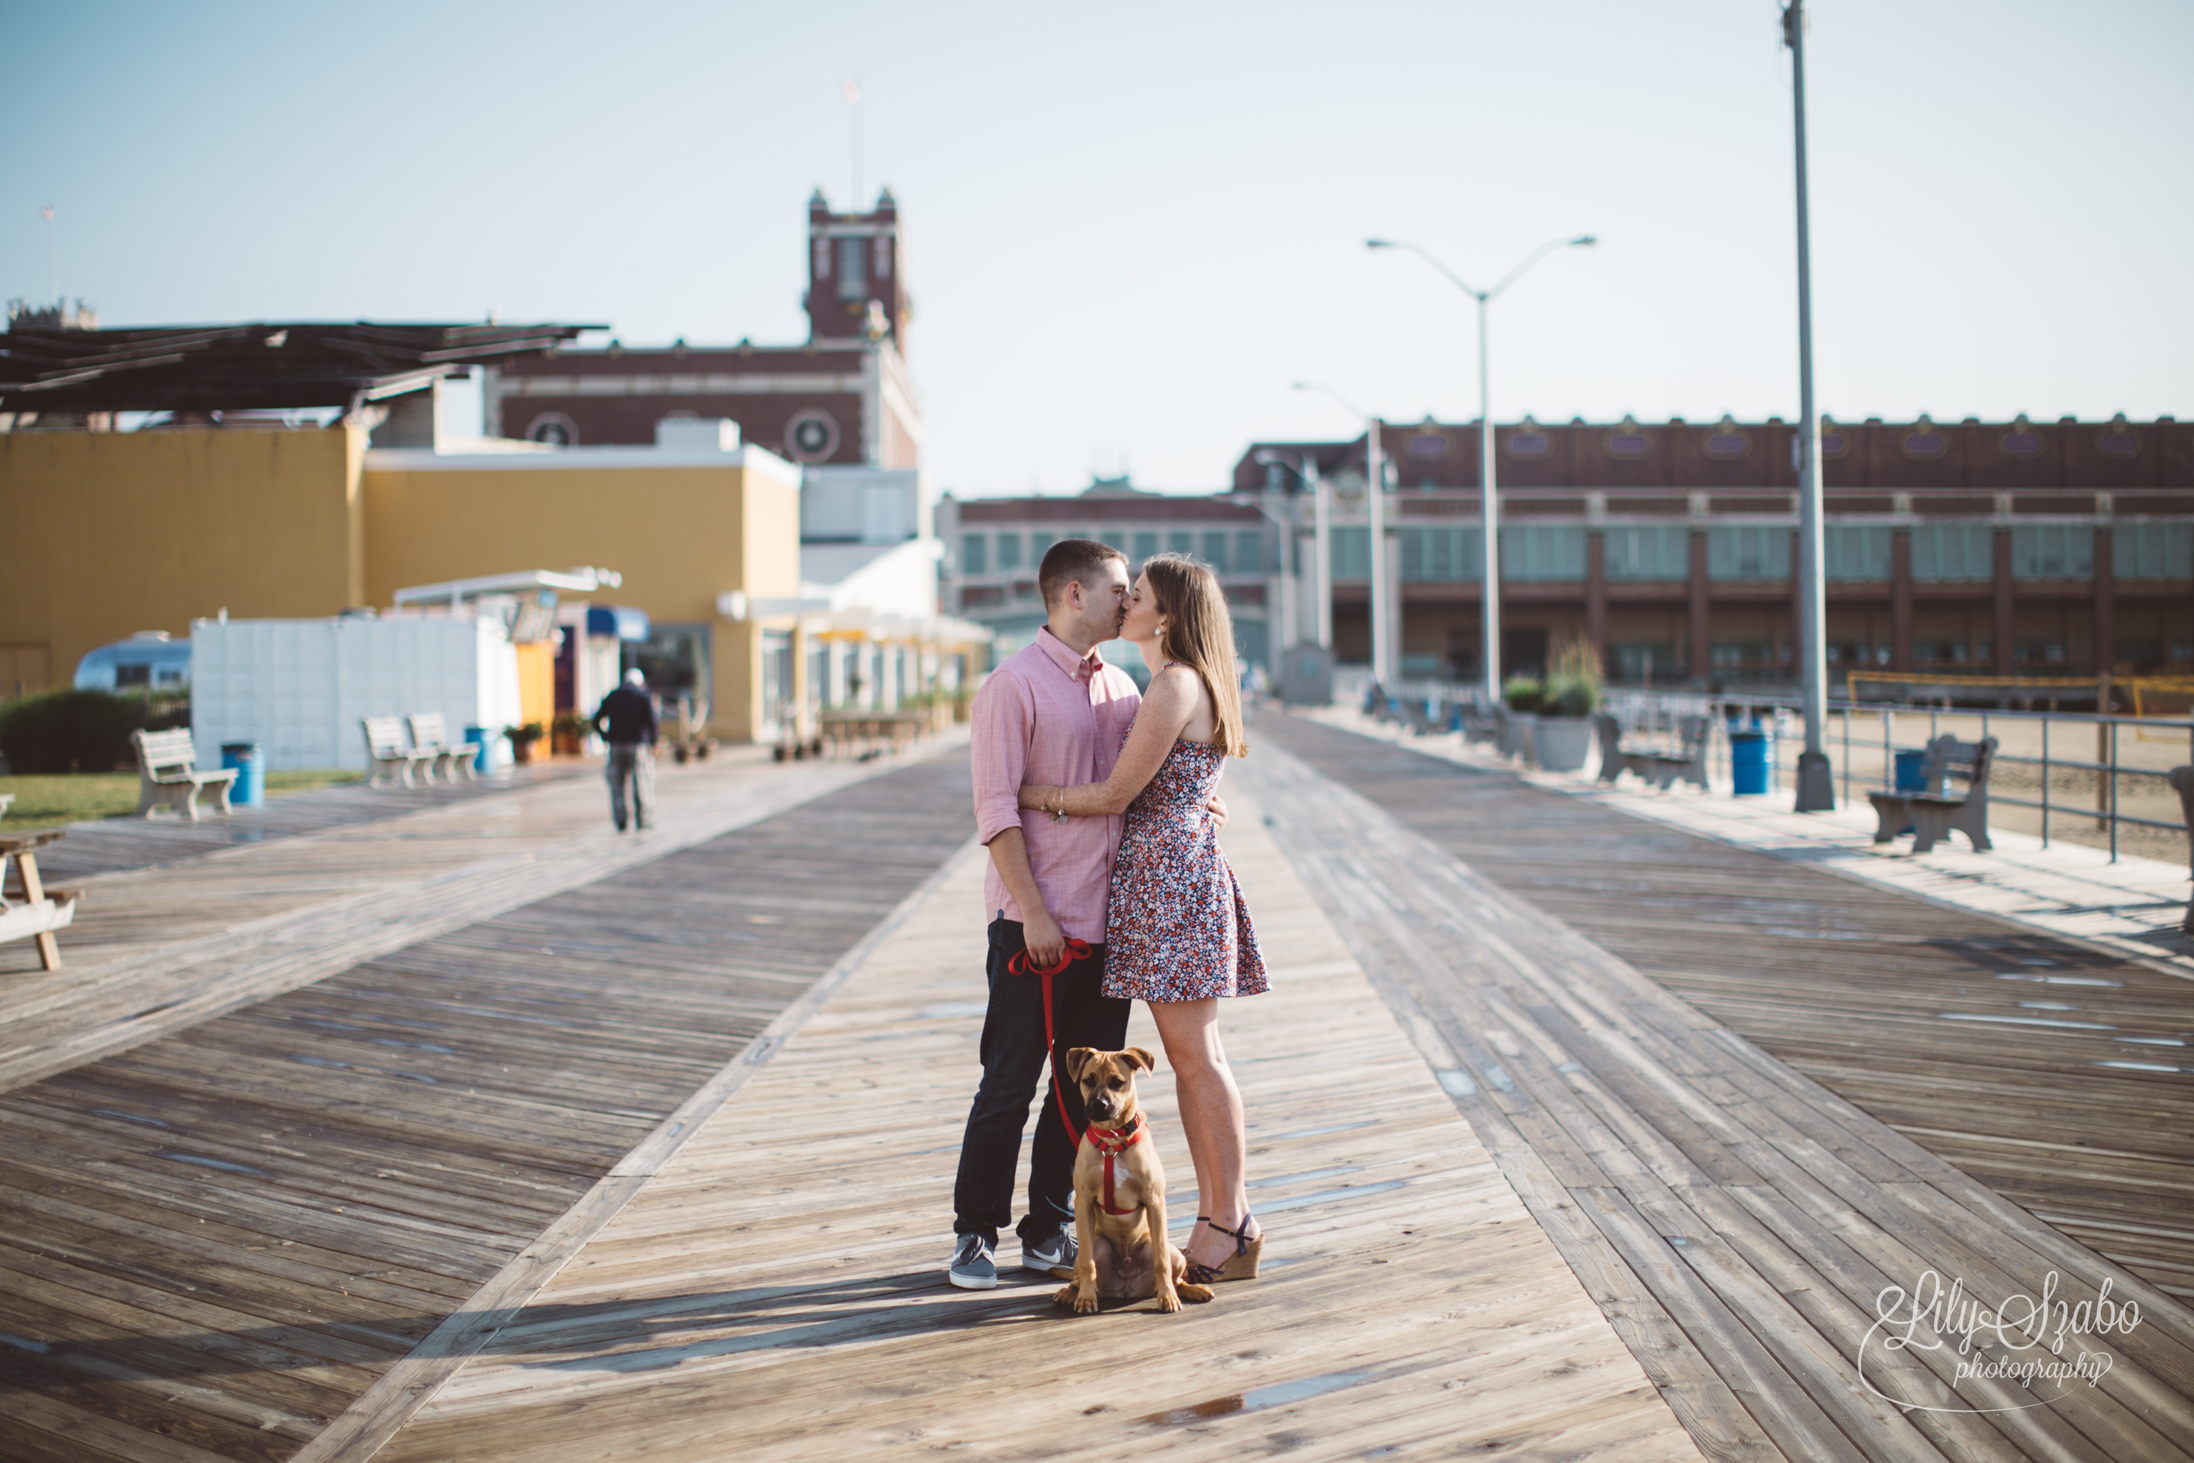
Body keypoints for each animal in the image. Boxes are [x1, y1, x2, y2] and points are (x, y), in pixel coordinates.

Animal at [1048, 1052, 1211, 1316]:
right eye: (1088, 1080)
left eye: (1117, 1082)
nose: (1099, 1104)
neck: (1112, 1139)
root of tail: (1127, 1286)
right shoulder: (1083, 1202)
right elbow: (1088, 1265)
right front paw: (1085, 1299)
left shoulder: (1154, 1200)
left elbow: (1161, 1262)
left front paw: (1168, 1298)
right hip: (1095, 1245)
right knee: (1080, 1272)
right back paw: (1071, 1292)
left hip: (1177, 1255)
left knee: (1176, 1276)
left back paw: (1190, 1290)